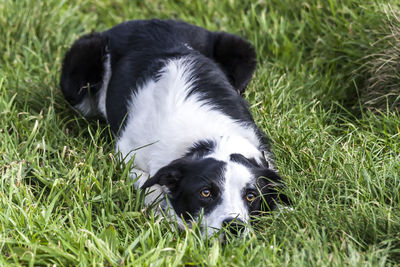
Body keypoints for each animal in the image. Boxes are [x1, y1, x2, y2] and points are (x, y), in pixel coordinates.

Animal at [60, 19, 288, 239]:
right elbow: (151, 188)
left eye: (251, 196)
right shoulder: (128, 156)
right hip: (80, 70)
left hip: (241, 51)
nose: (234, 226)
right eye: (205, 193)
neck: (206, 137)